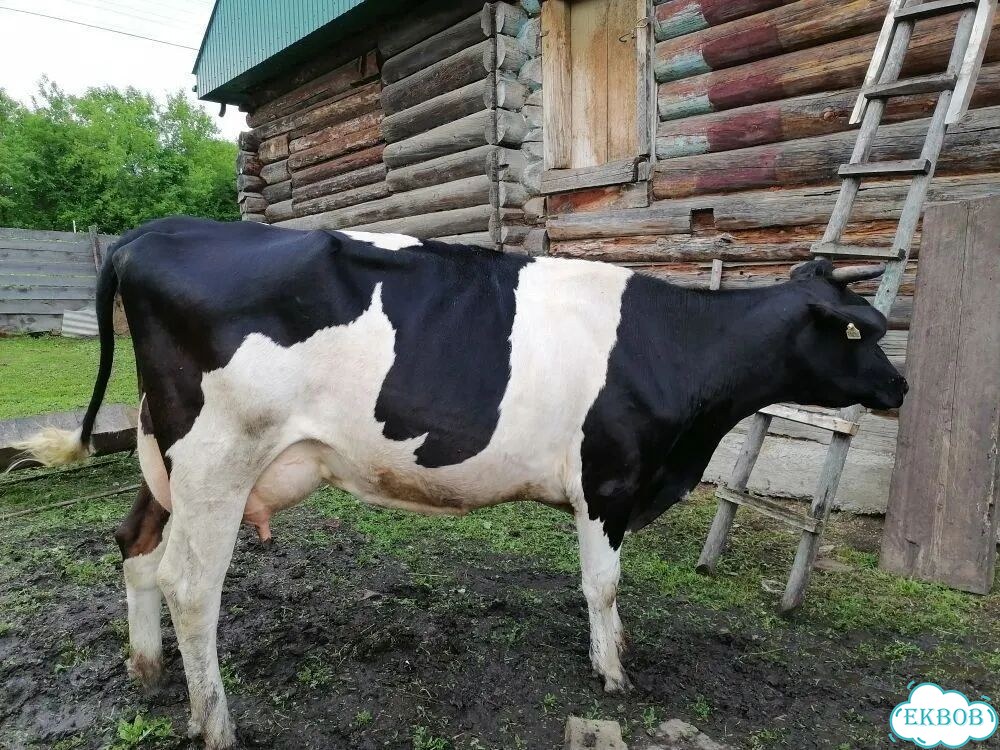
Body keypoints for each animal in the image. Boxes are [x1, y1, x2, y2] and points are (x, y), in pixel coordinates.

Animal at [17, 216, 906, 749]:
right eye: (855, 332)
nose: (899, 388)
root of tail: (153, 233)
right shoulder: (607, 482)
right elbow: (603, 585)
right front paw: (614, 672)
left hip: (167, 454)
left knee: (135, 546)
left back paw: (148, 670)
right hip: (216, 458)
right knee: (190, 584)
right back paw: (216, 722)